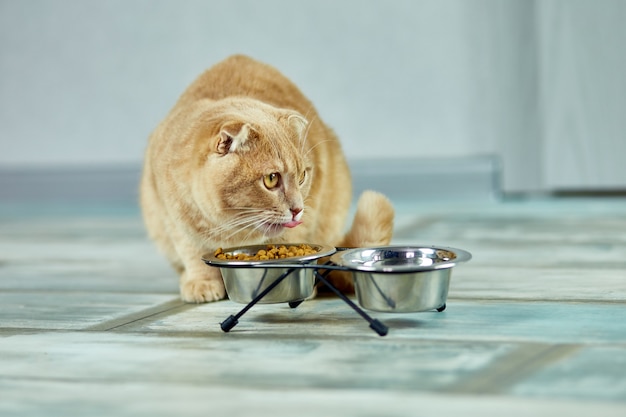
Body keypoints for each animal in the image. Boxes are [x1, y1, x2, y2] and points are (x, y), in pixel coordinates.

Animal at [141, 55, 392, 302]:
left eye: (302, 176)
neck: (232, 229)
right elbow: (192, 253)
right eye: (271, 179)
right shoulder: (173, 219)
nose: (298, 209)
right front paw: (201, 282)